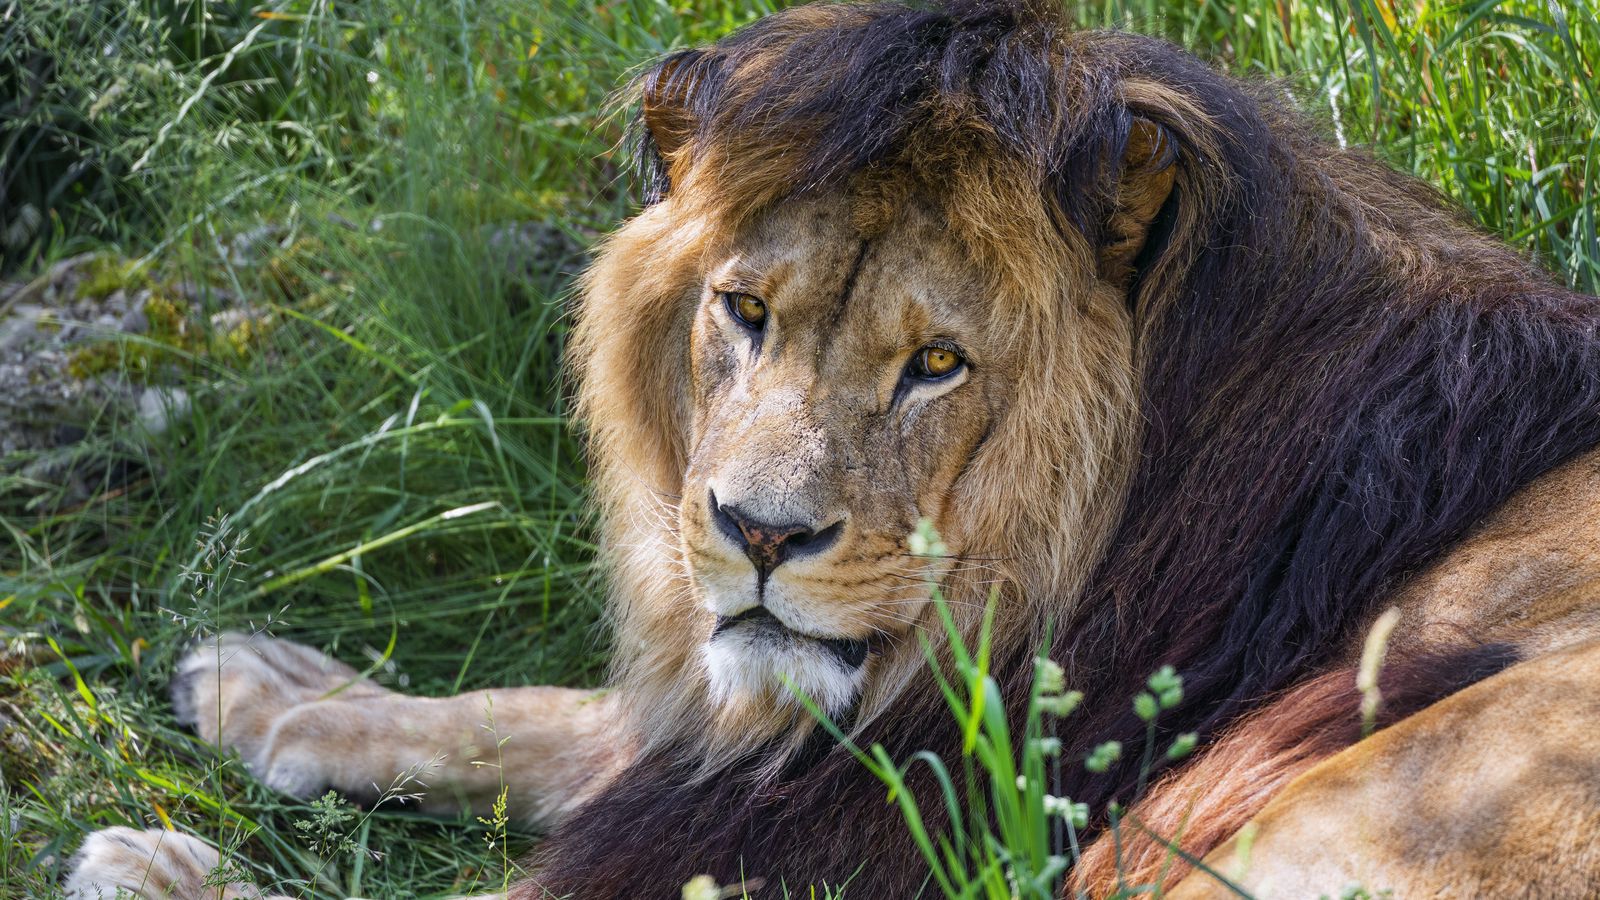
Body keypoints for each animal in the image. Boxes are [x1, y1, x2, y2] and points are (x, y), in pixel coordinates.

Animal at [64, 1, 1600, 897]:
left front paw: (164, 863)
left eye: (938, 364)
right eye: (746, 312)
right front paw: (276, 692)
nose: (758, 535)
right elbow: (550, 713)